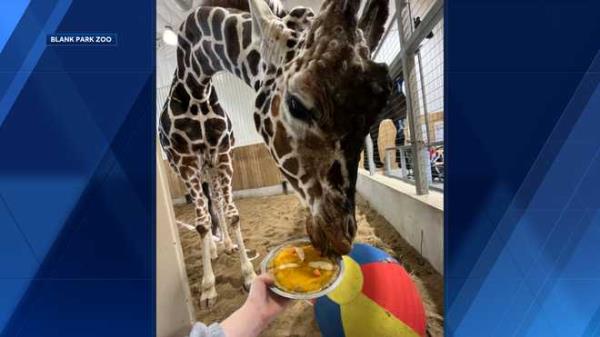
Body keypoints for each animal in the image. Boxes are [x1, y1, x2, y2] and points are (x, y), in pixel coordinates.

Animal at [159, 0, 394, 308]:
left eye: (375, 112)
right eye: (297, 104)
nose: (340, 239)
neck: (196, 87)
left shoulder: (222, 155)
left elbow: (231, 213)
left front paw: (247, 274)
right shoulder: (186, 162)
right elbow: (201, 223)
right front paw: (208, 289)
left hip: (209, 167)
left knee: (217, 205)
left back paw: (225, 245)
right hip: (191, 169)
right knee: (205, 214)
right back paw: (213, 251)